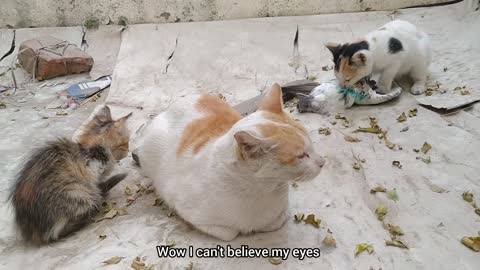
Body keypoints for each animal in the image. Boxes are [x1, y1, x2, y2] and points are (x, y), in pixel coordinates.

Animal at [9, 105, 132, 245]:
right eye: (125, 143)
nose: (128, 150)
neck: (90, 148)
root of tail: (34, 231)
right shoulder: (92, 171)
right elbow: (96, 184)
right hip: (77, 192)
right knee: (56, 233)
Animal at [137, 83, 324, 242]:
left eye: (311, 143)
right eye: (301, 155)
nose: (322, 162)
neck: (263, 190)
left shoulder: (280, 212)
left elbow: (276, 220)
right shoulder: (189, 210)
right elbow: (230, 233)